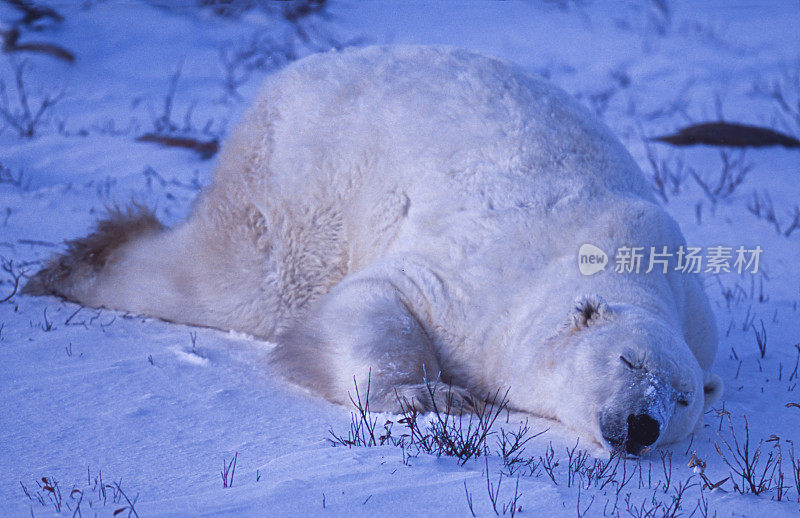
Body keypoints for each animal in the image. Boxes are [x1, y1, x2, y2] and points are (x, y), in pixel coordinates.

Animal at [26, 46, 724, 458]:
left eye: (683, 400)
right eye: (631, 362)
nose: (641, 425)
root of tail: (299, 71)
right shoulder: (491, 282)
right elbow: (382, 296)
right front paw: (431, 396)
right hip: (307, 181)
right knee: (245, 280)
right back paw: (76, 264)